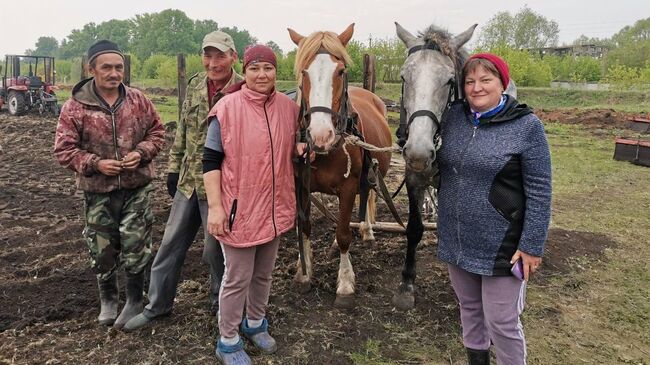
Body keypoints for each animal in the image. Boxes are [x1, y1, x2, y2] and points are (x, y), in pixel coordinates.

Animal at [288, 24, 390, 306]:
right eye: (304, 71)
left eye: (341, 71)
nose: (320, 135)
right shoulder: (301, 186)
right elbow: (306, 227)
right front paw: (304, 272)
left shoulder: (347, 188)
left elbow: (344, 234)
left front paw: (345, 283)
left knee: (368, 197)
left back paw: (367, 230)